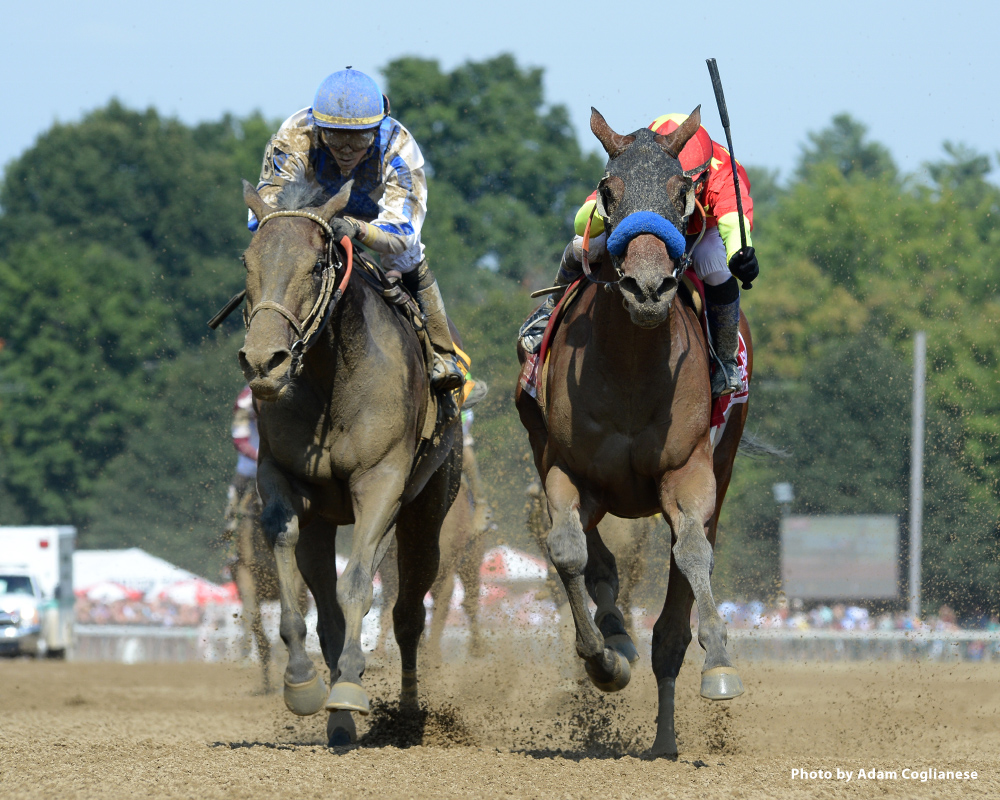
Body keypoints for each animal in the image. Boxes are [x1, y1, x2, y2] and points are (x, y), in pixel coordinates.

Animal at [240, 180, 462, 744]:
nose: (263, 362)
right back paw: (338, 719)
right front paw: (303, 683)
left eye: (317, 263)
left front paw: (350, 688)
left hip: (426, 516)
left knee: (407, 614)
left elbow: (359, 581)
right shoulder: (279, 476)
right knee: (328, 611)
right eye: (246, 260)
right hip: (325, 521)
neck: (332, 380)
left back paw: (406, 714)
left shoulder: (381, 482)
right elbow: (287, 552)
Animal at [516, 106, 752, 756]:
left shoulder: (690, 473)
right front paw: (603, 657)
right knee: (591, 553)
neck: (629, 368)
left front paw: (719, 662)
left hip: (722, 466)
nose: (647, 288)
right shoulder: (565, 468)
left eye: (681, 192)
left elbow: (693, 553)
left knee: (679, 587)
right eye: (608, 190)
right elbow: (568, 551)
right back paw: (616, 635)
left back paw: (666, 739)